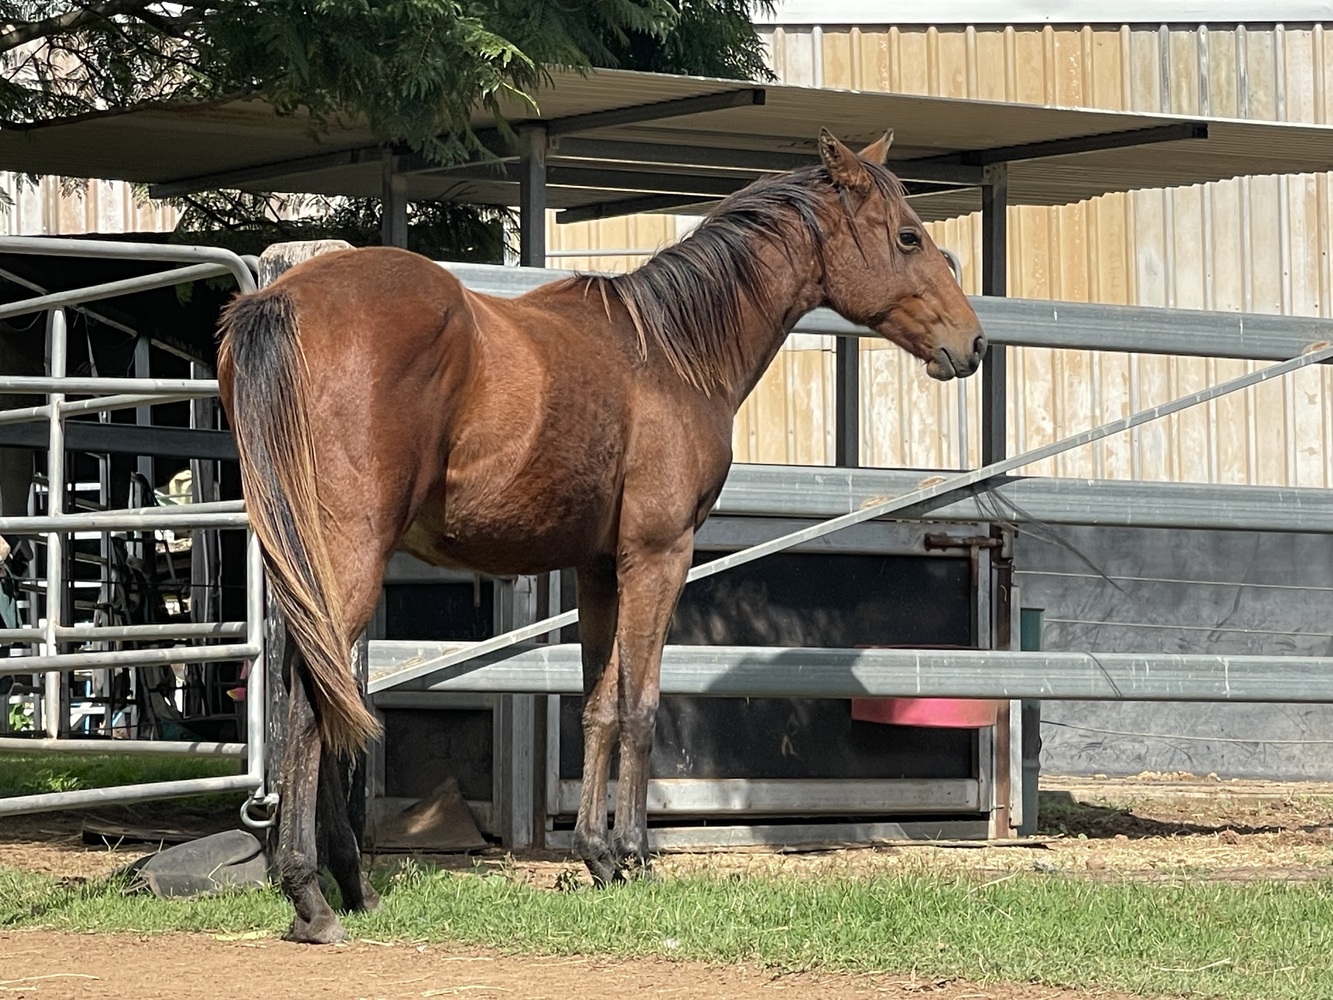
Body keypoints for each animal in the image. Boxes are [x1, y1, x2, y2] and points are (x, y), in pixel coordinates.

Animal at [217, 128, 987, 943]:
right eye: (908, 236)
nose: (971, 343)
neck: (673, 354)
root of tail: (281, 299)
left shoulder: (596, 569)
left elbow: (596, 705)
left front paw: (594, 853)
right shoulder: (658, 556)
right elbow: (641, 705)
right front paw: (633, 855)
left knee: (313, 696)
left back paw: (353, 884)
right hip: (348, 560)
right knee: (310, 706)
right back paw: (310, 896)